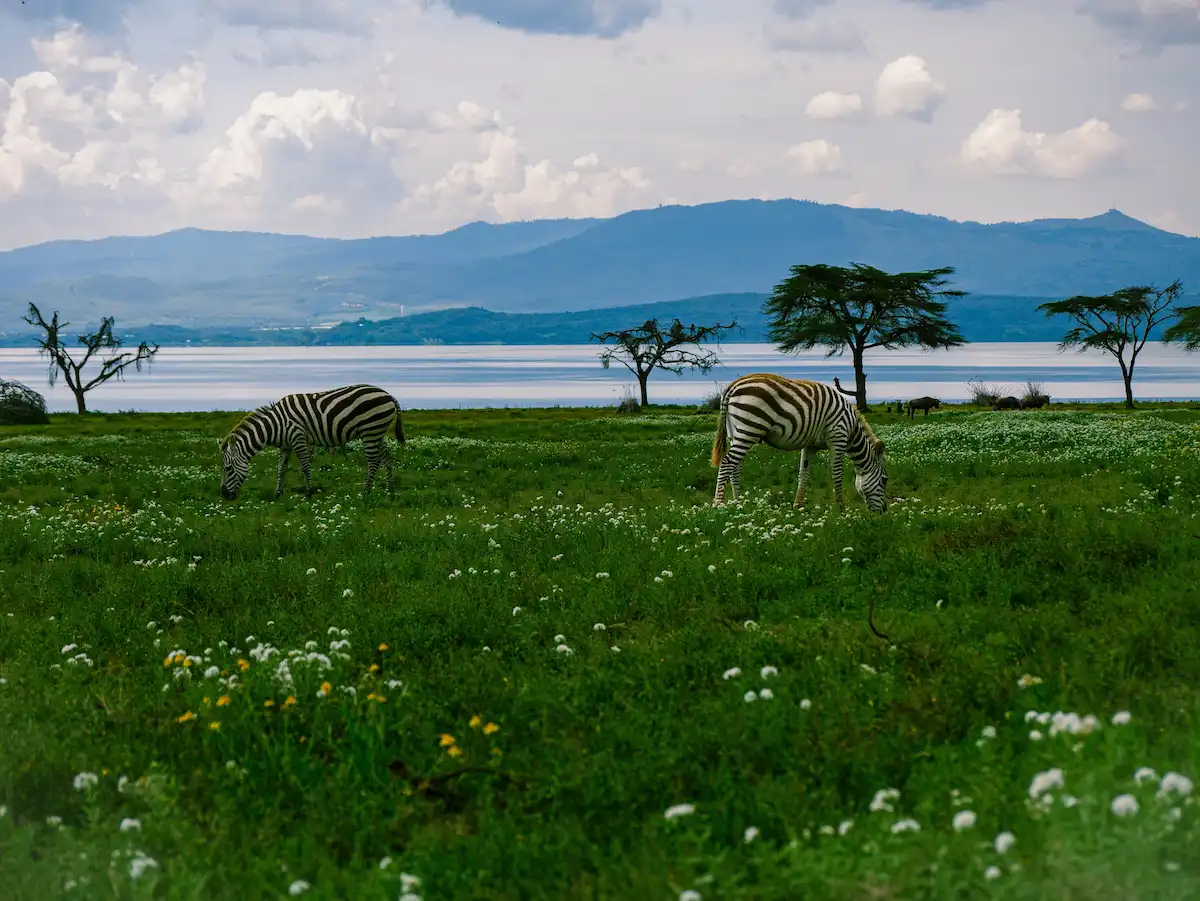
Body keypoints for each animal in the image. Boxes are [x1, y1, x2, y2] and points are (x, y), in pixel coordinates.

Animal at [219, 384, 406, 500]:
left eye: (228, 469)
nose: (223, 496)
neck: (275, 425)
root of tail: (388, 395)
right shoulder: (285, 446)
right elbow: (281, 469)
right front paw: (278, 494)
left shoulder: (298, 438)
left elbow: (305, 466)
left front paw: (308, 492)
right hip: (377, 432)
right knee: (387, 457)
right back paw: (390, 489)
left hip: (370, 430)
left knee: (374, 461)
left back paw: (366, 491)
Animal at [710, 373, 888, 513]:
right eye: (885, 480)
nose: (884, 512)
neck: (852, 430)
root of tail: (732, 386)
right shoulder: (838, 438)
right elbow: (837, 474)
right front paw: (841, 509)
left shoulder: (811, 445)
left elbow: (804, 473)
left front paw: (798, 506)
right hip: (749, 429)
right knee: (727, 462)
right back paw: (719, 505)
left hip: (735, 433)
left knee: (735, 467)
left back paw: (738, 504)